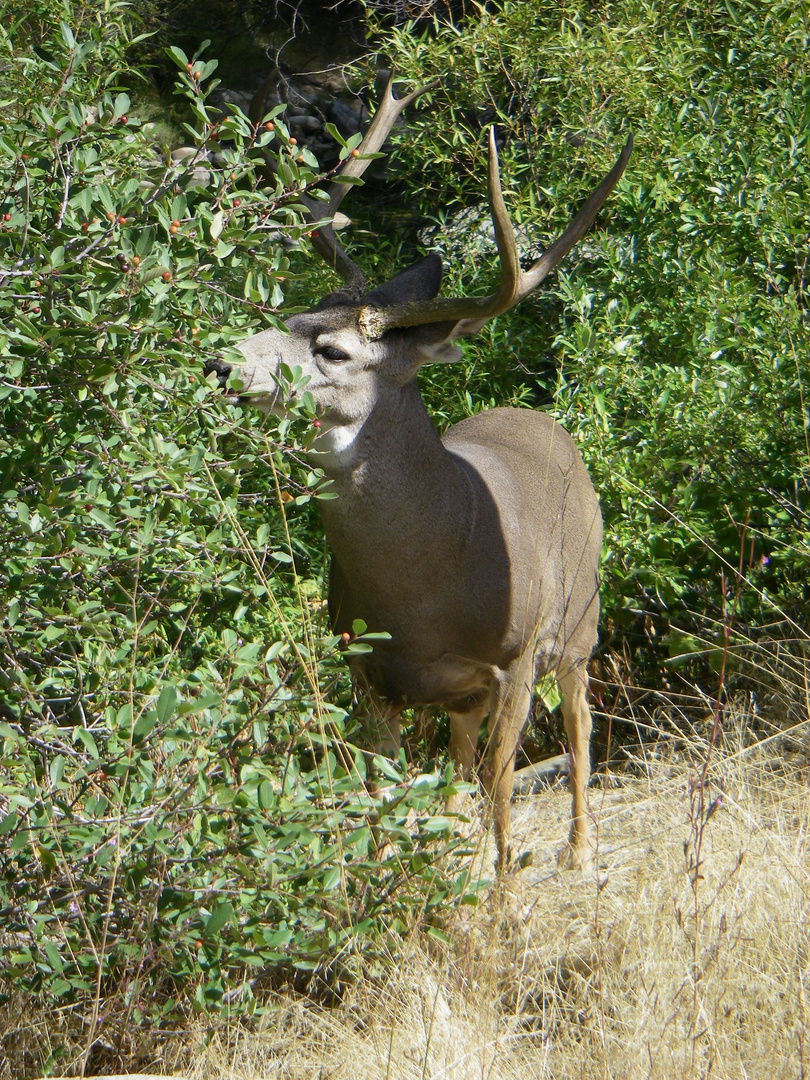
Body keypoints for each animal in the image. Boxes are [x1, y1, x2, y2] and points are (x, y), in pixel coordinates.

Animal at [210, 78, 635, 868]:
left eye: (334, 351)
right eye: (292, 313)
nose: (220, 363)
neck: (427, 585)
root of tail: (538, 417)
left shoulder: (516, 661)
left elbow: (503, 785)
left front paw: (504, 893)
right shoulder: (366, 670)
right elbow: (380, 793)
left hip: (581, 621)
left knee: (580, 724)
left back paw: (580, 849)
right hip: (463, 690)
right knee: (461, 757)